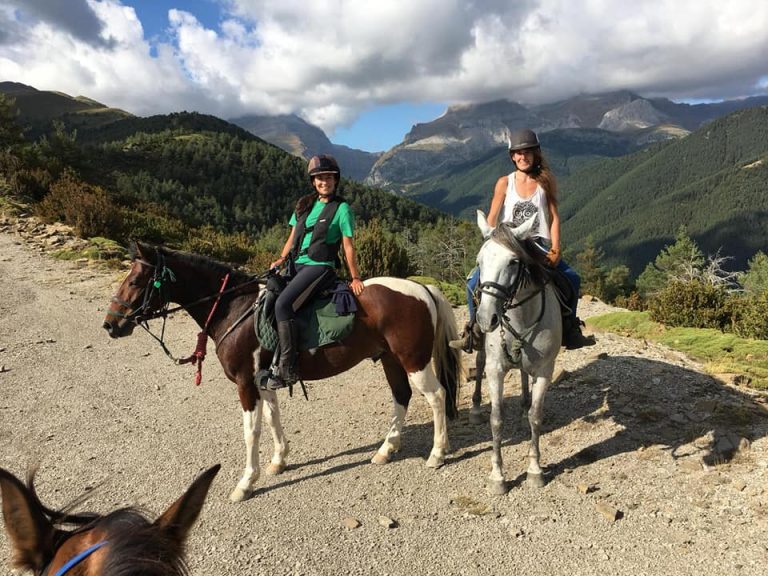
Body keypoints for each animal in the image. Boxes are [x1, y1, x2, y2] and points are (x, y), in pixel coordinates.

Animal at [102, 242, 462, 500]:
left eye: (135, 280)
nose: (110, 325)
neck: (235, 308)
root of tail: (422, 289)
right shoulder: (265, 380)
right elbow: (273, 418)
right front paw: (279, 460)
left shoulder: (246, 383)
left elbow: (251, 431)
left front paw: (246, 482)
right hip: (390, 360)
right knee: (401, 397)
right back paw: (386, 450)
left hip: (413, 361)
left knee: (436, 396)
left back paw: (437, 453)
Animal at [472, 212, 560, 496]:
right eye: (479, 261)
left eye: (513, 262)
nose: (487, 318)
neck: (520, 319)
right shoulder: (495, 370)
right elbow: (496, 419)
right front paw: (497, 476)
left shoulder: (544, 371)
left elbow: (536, 417)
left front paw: (535, 470)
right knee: (478, 362)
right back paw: (475, 408)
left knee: (523, 373)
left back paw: (523, 403)